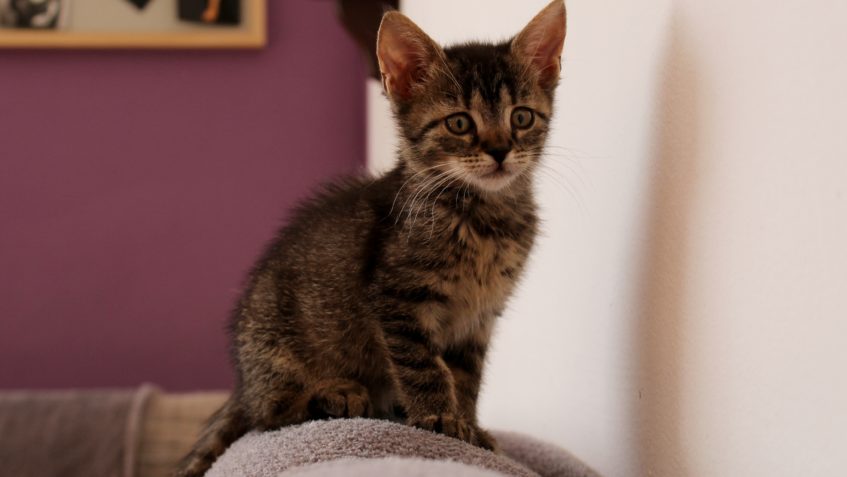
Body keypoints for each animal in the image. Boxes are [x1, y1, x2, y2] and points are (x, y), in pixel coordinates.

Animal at [176, 1, 566, 475]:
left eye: (521, 117)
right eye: (459, 123)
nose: (499, 150)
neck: (484, 217)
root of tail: (243, 383)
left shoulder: (479, 318)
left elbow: (467, 377)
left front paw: (471, 428)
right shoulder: (396, 297)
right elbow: (424, 365)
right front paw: (439, 419)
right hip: (274, 346)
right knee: (268, 415)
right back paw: (335, 394)